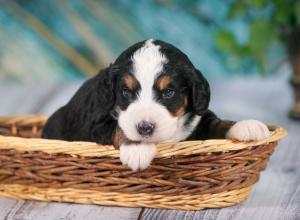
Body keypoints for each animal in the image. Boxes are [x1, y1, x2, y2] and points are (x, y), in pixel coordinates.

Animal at [42, 39, 270, 170]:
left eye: (168, 92)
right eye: (125, 92)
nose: (145, 128)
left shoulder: (197, 122)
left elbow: (217, 123)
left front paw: (245, 126)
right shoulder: (95, 123)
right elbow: (119, 127)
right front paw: (137, 148)